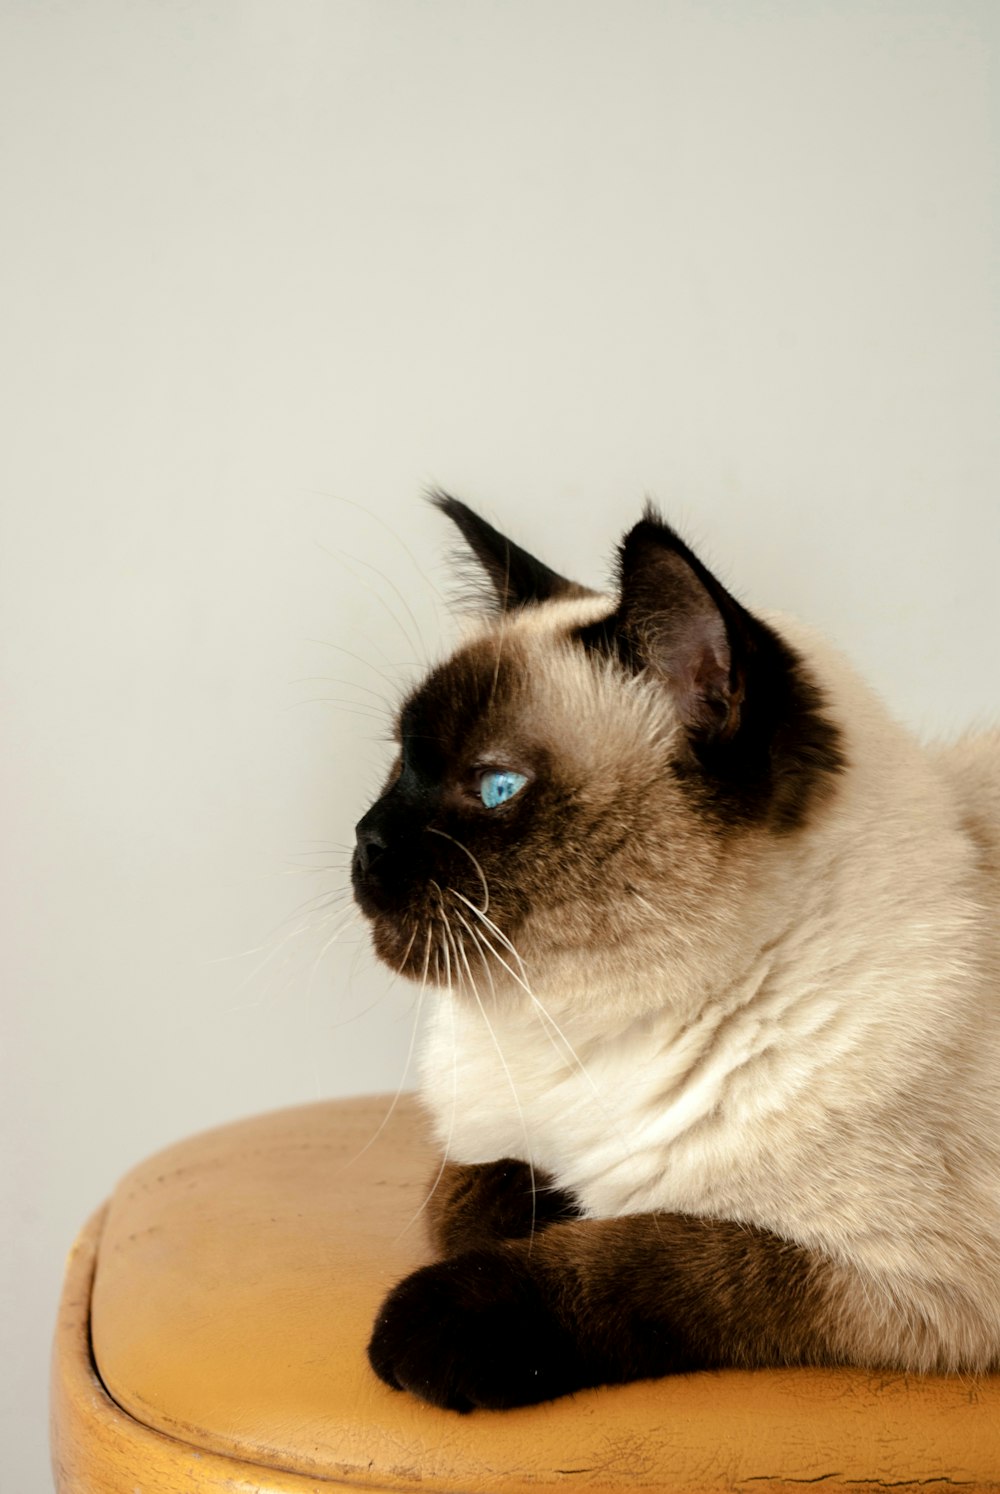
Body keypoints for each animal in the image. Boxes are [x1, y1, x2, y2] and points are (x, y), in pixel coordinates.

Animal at [351, 498, 998, 1410]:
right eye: (400, 763)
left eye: (496, 787)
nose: (365, 842)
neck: (583, 1019)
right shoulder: (476, 1149)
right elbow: (474, 1192)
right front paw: (556, 1202)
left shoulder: (910, 1281)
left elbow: (652, 1254)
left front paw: (429, 1326)